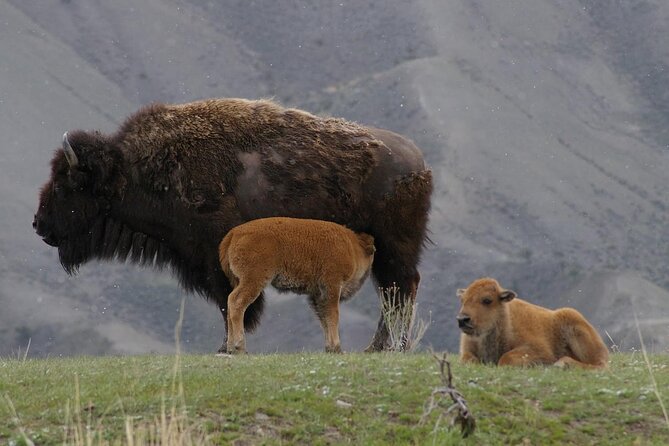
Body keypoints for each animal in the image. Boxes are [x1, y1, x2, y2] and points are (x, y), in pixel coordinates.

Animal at [219, 218, 376, 354]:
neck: (352, 246)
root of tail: (234, 233)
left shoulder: (317, 295)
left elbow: (323, 318)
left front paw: (329, 348)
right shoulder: (332, 287)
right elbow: (333, 315)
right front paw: (337, 348)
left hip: (240, 281)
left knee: (229, 301)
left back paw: (230, 348)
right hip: (254, 280)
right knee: (237, 302)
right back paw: (240, 347)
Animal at [456, 278, 608, 370]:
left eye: (487, 300)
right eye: (463, 300)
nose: (462, 319)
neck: (506, 322)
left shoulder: (540, 350)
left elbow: (506, 358)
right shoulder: (466, 351)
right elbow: (468, 360)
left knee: (600, 365)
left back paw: (561, 363)